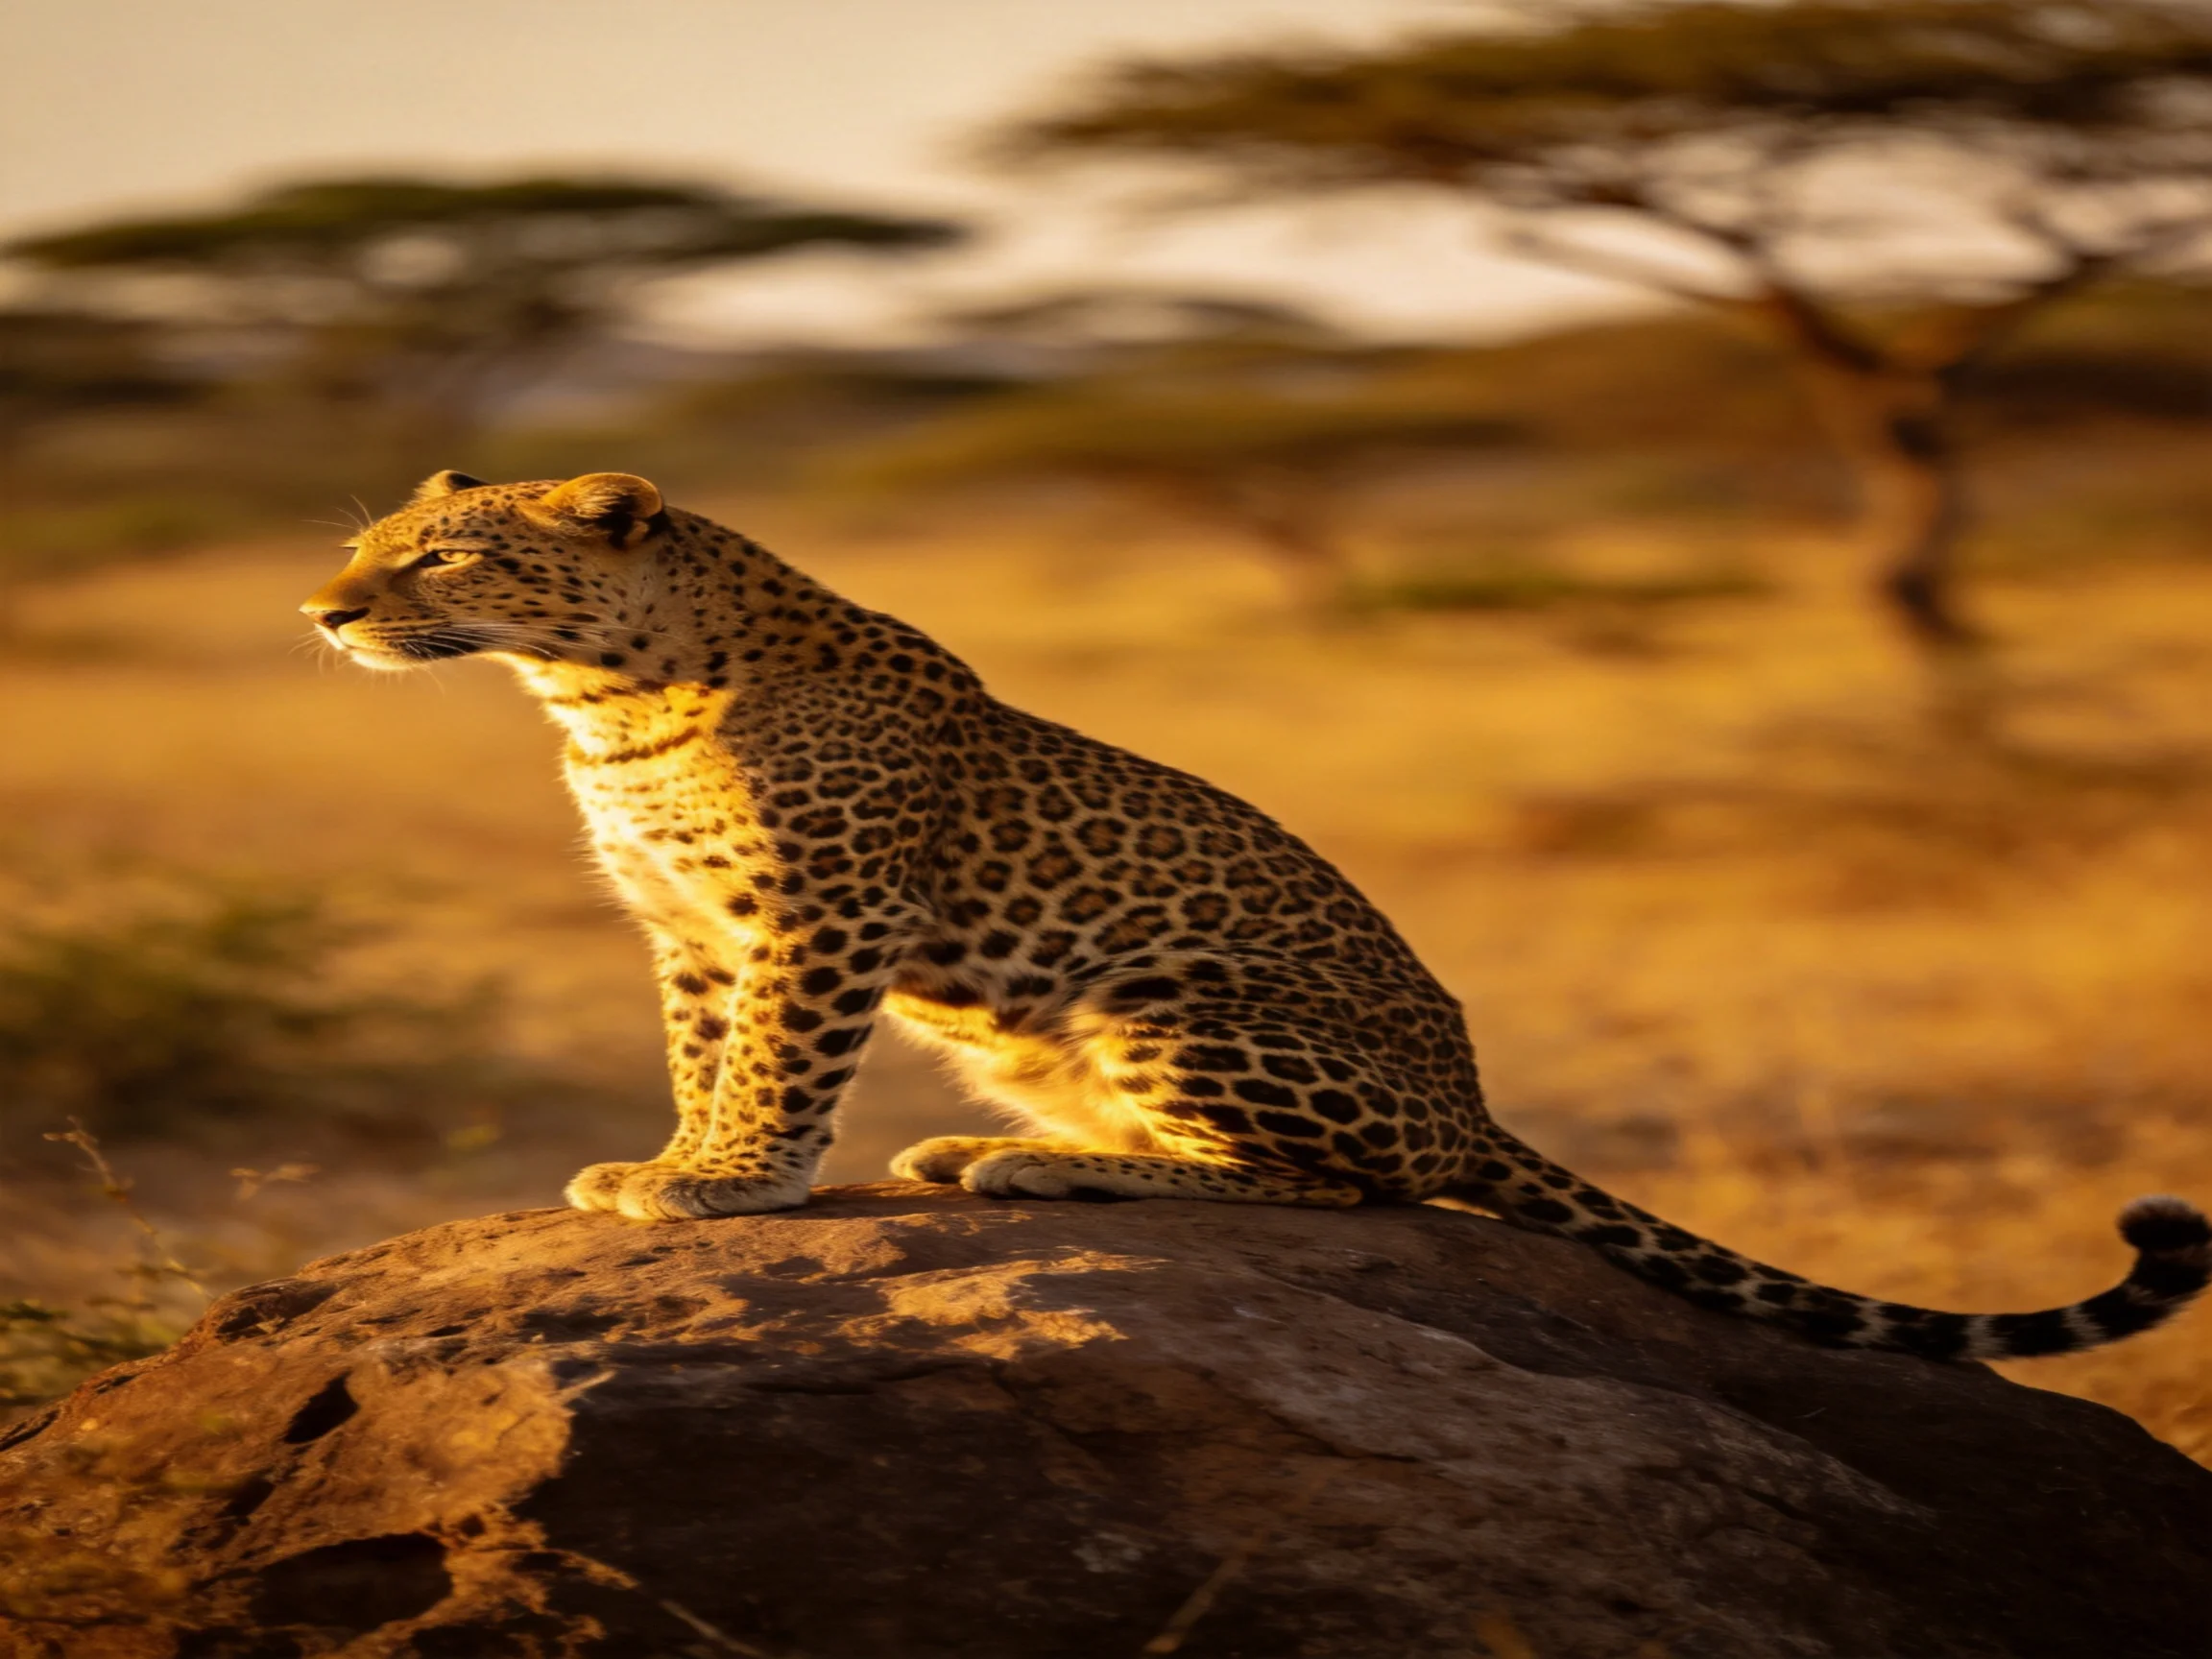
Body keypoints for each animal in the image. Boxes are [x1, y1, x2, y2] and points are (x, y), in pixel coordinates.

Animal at [301, 469, 2209, 1362]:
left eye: (443, 557)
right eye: (368, 543)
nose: (324, 611)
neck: (595, 700)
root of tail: (1473, 1100)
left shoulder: (823, 910)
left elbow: (780, 1063)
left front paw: (728, 1185)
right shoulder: (690, 931)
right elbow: (706, 1054)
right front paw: (672, 1160)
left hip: (1174, 997)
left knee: (1347, 1186)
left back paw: (1037, 1167)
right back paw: (991, 1152)